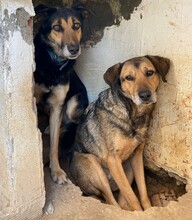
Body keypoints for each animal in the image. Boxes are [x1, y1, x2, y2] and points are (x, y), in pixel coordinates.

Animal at [33, 4, 89, 184]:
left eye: (76, 25)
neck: (54, 63)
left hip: (74, 102)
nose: (74, 49)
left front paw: (56, 171)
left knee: (72, 122)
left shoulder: (58, 105)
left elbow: (54, 146)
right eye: (57, 27)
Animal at [69, 55, 170, 211]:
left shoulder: (137, 156)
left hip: (127, 169)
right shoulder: (113, 160)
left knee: (122, 202)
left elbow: (142, 192)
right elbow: (133, 198)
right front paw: (140, 211)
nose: (145, 95)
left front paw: (147, 210)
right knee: (112, 202)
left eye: (149, 73)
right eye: (128, 77)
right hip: (94, 165)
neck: (132, 115)